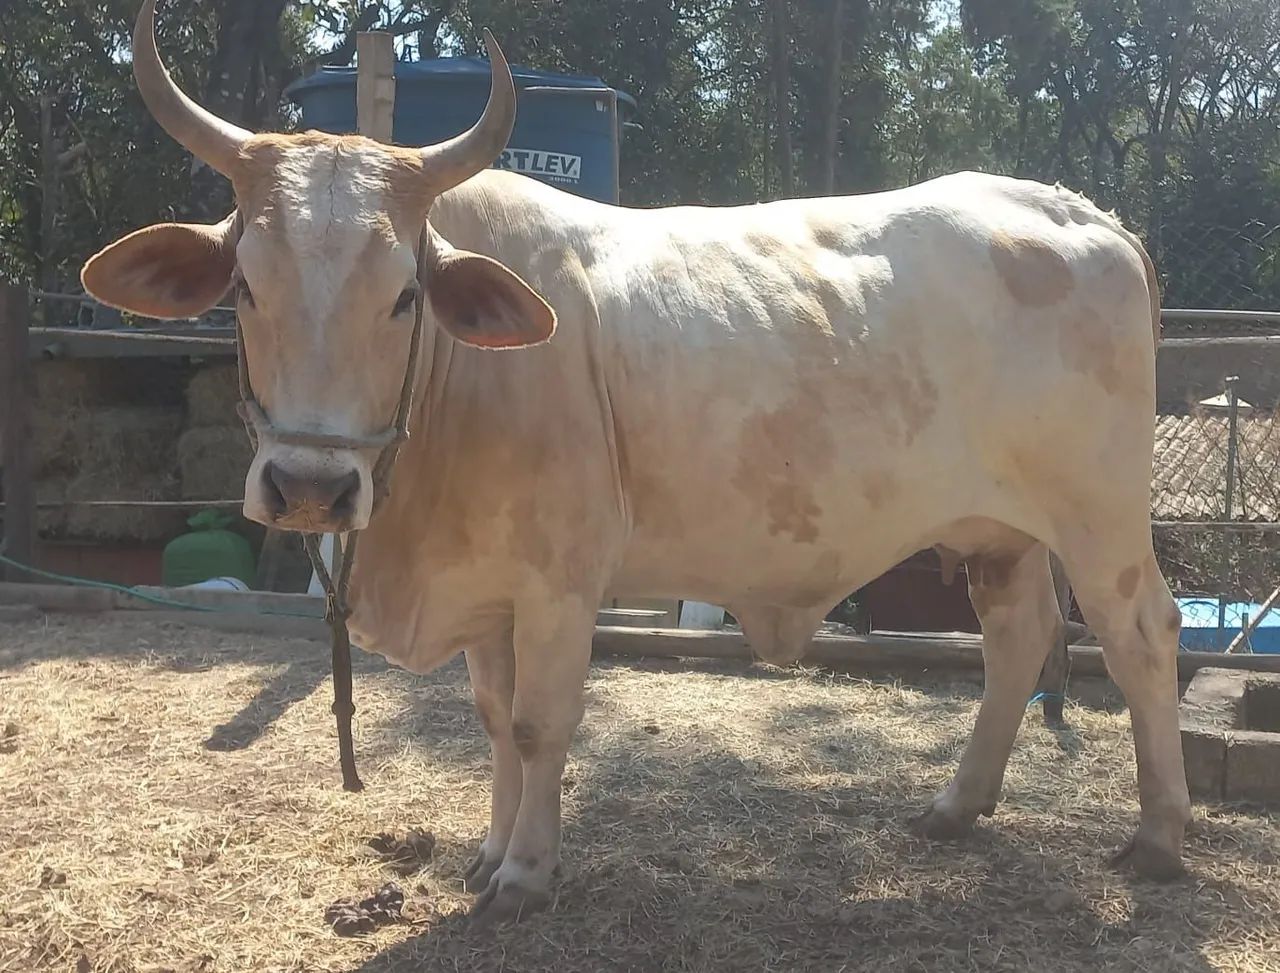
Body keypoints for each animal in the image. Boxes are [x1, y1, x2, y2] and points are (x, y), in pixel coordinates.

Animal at [82, 0, 1191, 925]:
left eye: (403, 294)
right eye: (244, 286)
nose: (311, 487)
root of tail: (1082, 214)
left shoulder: (560, 583)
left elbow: (539, 725)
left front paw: (526, 875)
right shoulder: (492, 591)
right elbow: (492, 721)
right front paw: (487, 853)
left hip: (1098, 518)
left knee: (1141, 637)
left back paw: (1158, 837)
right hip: (999, 529)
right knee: (1017, 638)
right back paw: (957, 804)